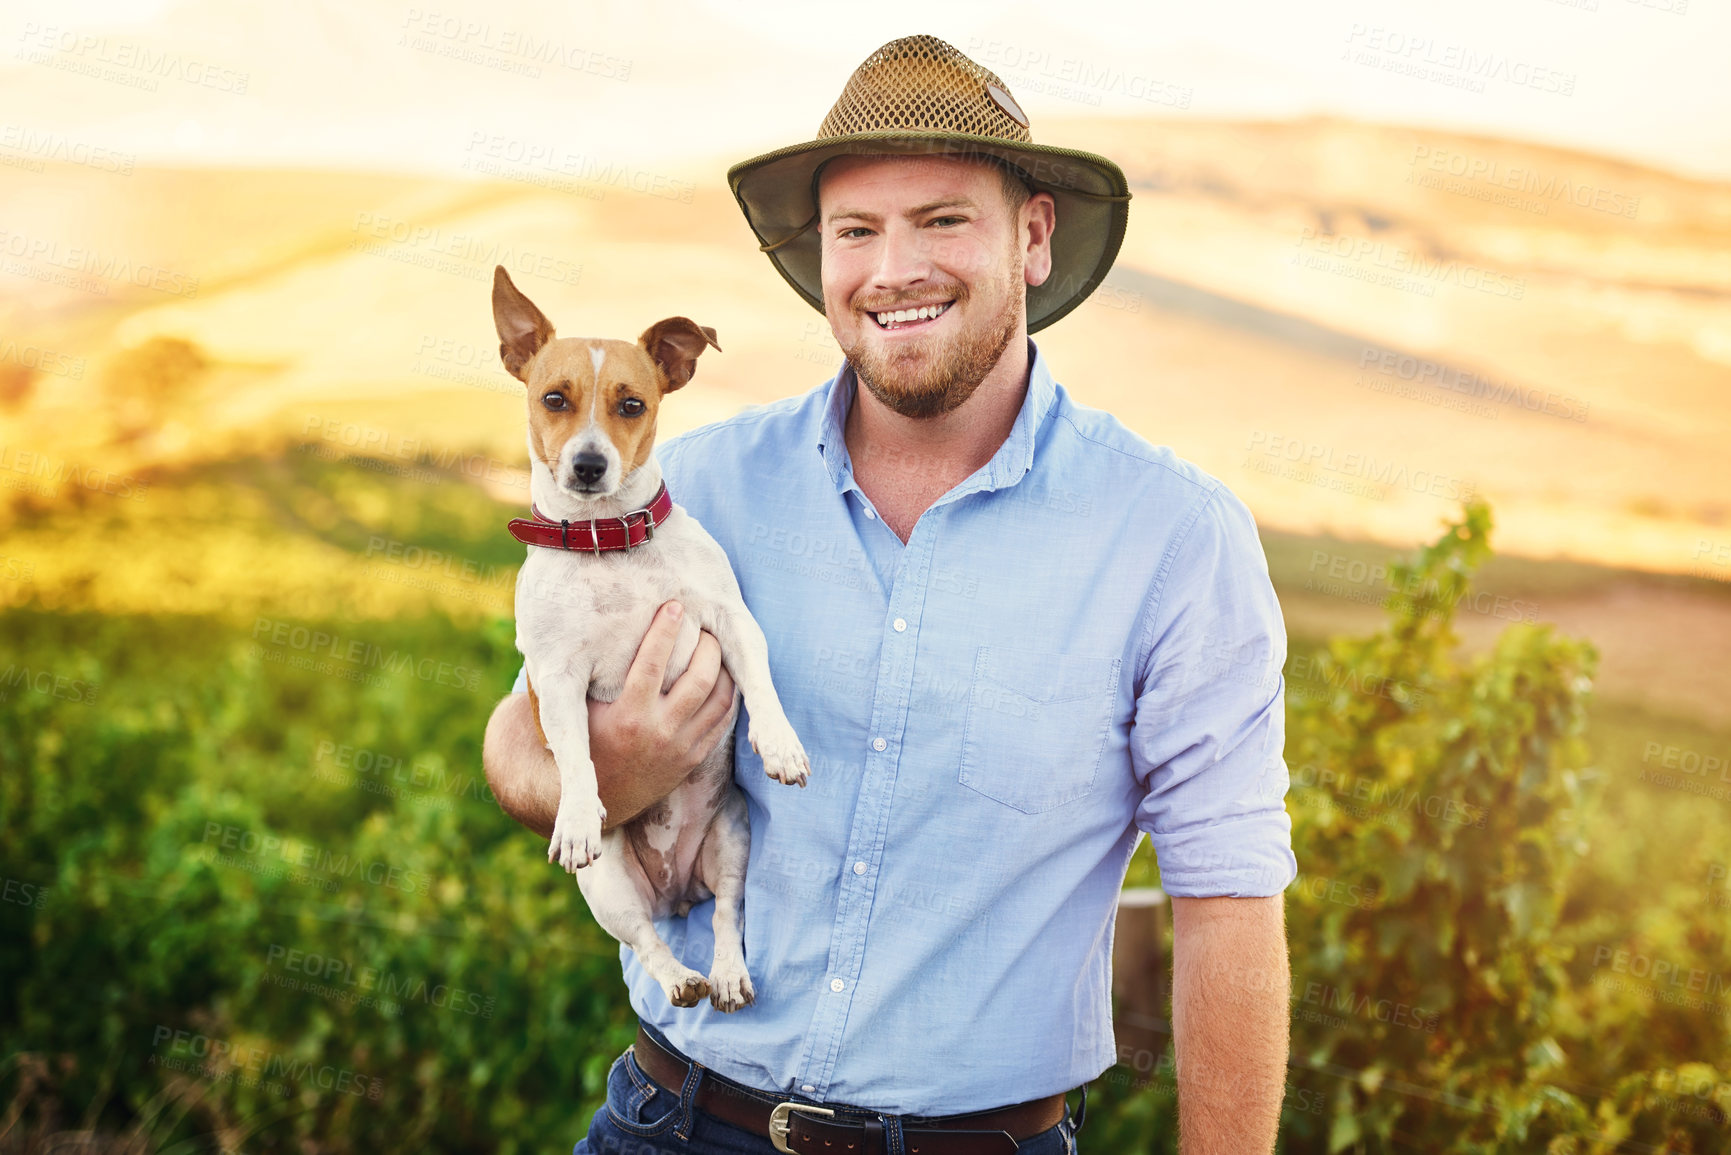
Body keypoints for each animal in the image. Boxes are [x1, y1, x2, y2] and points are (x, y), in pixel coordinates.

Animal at [488, 264, 810, 1011]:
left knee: (724, 917)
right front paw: (577, 815)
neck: (608, 541)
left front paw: (779, 742)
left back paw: (726, 974)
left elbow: (763, 681)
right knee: (647, 942)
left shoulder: (730, 619)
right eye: (554, 398)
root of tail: (674, 889)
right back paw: (681, 978)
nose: (587, 464)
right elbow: (576, 756)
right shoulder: (554, 677)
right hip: (608, 888)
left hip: (731, 841)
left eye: (631, 405)